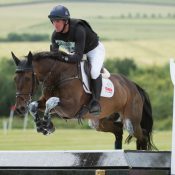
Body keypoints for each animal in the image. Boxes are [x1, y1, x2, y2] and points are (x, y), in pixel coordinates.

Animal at [11, 50, 157, 150]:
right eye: (15, 79)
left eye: (28, 78)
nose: (20, 108)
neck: (58, 76)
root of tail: (133, 86)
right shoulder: (49, 103)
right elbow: (35, 105)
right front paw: (42, 126)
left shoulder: (71, 108)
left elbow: (50, 102)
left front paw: (47, 125)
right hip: (100, 123)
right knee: (119, 131)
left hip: (131, 121)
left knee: (142, 135)